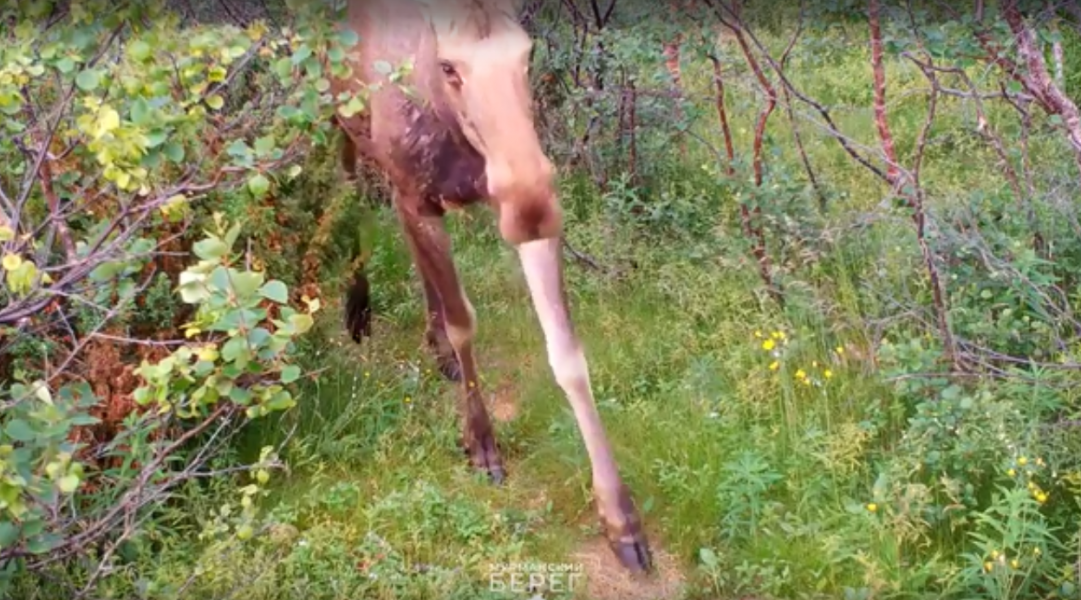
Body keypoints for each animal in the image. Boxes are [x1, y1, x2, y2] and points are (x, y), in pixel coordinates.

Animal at [328, 0, 652, 573]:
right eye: (450, 66)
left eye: (528, 54)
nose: (532, 205)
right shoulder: (418, 194)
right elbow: (464, 322)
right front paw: (481, 445)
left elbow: (568, 355)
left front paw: (621, 520)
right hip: (337, 123)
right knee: (348, 197)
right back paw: (358, 311)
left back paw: (434, 346)